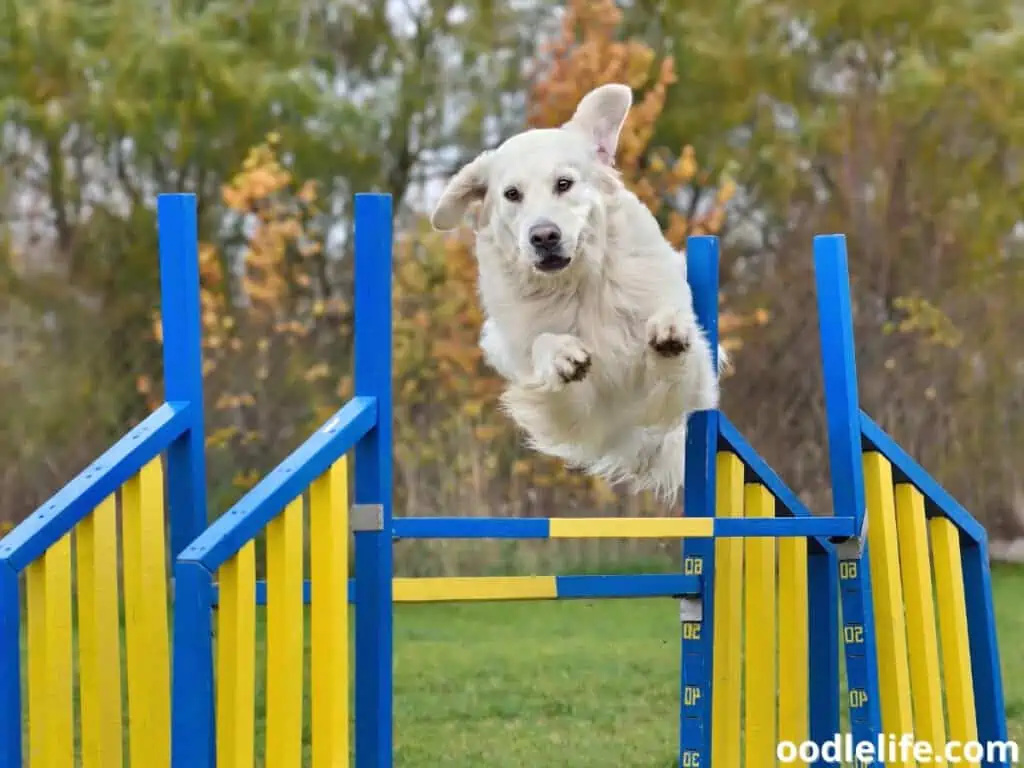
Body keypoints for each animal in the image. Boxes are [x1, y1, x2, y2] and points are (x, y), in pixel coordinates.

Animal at [428, 83, 724, 505]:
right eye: (512, 194)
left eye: (563, 184)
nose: (543, 236)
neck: (579, 284)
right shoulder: (581, 409)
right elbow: (547, 350)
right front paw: (562, 355)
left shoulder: (683, 395)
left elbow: (675, 356)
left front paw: (668, 330)